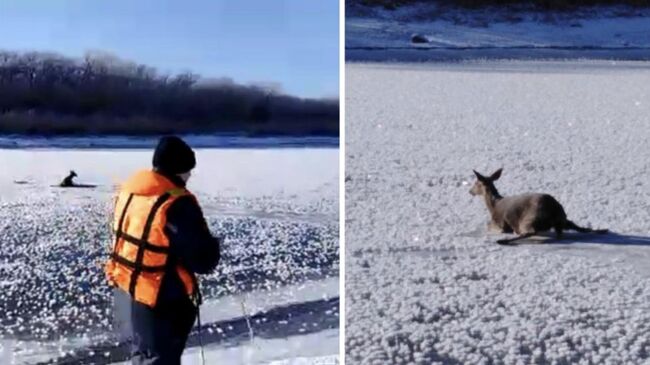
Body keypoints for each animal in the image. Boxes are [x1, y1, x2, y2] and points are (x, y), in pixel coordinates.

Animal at [468, 168, 604, 245]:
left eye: (476, 183)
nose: (470, 191)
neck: (493, 205)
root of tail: (555, 210)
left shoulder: (500, 223)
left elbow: (490, 226)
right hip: (562, 219)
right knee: (574, 228)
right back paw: (603, 230)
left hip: (530, 218)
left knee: (530, 232)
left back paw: (504, 241)